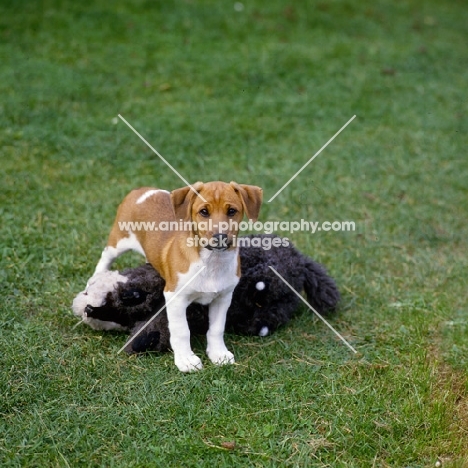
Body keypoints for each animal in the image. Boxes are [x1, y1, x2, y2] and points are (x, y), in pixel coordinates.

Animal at [89, 181, 262, 372]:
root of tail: (142, 190)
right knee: (105, 257)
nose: (220, 237)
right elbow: (181, 331)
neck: (211, 262)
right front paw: (186, 359)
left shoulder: (222, 298)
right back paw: (94, 281)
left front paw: (218, 353)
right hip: (119, 240)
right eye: (204, 212)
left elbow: (216, 328)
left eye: (232, 211)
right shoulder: (175, 297)